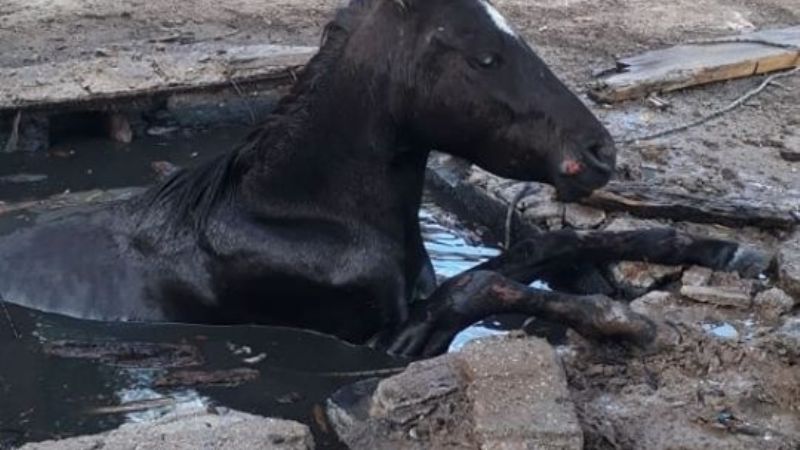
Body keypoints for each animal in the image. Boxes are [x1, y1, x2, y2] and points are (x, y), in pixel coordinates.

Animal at [0, 0, 766, 356]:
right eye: (486, 57)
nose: (600, 151)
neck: (300, 216)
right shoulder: (377, 343)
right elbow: (483, 286)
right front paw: (621, 321)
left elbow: (542, 248)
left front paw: (719, 248)